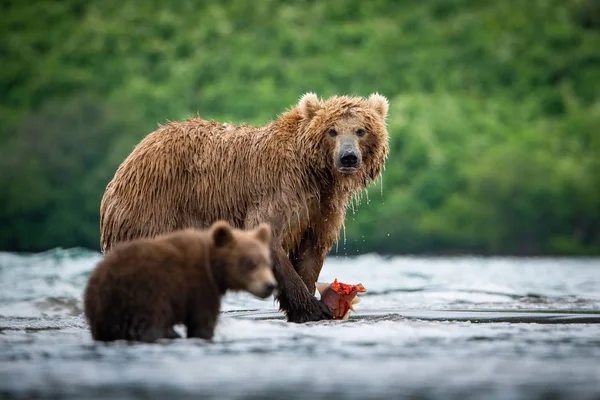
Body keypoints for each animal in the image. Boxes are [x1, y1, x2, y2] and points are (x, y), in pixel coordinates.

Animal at [99, 93, 390, 322]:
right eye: (332, 130)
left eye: (361, 130)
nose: (348, 157)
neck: (316, 174)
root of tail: (130, 158)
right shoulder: (279, 190)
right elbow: (268, 236)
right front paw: (313, 308)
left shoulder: (322, 207)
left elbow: (312, 250)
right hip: (156, 208)